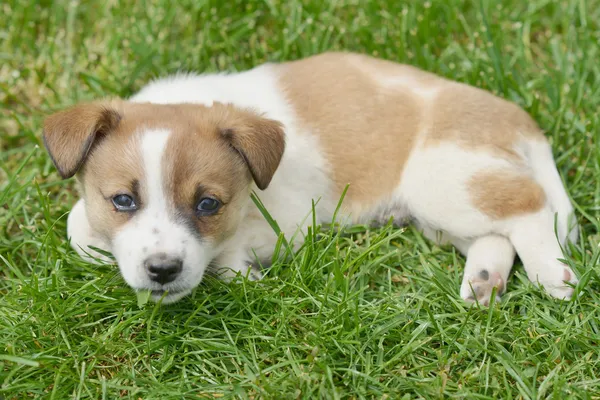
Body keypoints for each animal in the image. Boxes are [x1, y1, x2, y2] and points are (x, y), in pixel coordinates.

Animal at [42, 52, 576, 304]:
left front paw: (241, 275)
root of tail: (518, 118)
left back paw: (554, 275)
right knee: (497, 232)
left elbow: (223, 255)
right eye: (122, 201)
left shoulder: (291, 223)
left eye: (208, 204)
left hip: (443, 183)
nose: (162, 270)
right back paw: (485, 281)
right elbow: (76, 224)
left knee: (530, 206)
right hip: (441, 214)